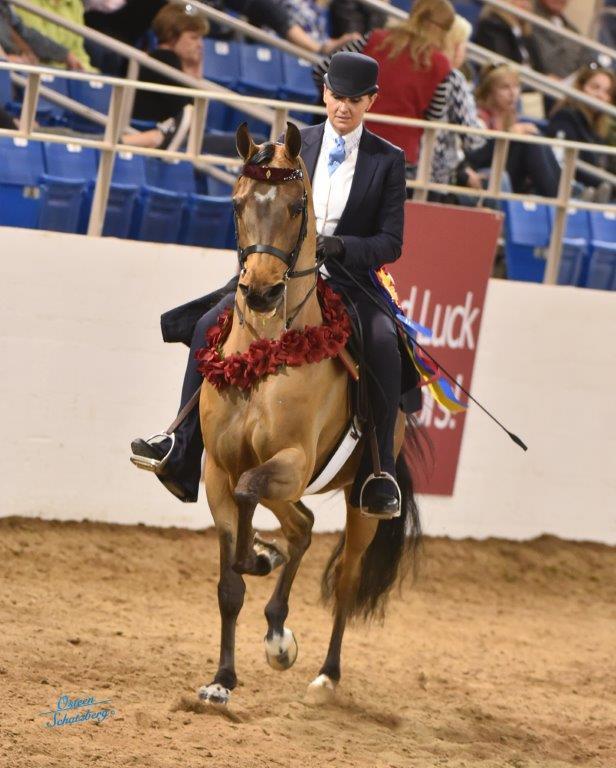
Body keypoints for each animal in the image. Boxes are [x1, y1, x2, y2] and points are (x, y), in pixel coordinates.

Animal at [196, 122, 421, 706]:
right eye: (236, 203)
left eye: (297, 206)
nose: (260, 292)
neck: (267, 353)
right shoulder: (217, 471)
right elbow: (229, 586)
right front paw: (222, 680)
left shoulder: (291, 460)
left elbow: (251, 499)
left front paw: (258, 557)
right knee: (301, 525)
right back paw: (277, 624)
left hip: (360, 501)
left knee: (345, 577)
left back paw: (326, 674)